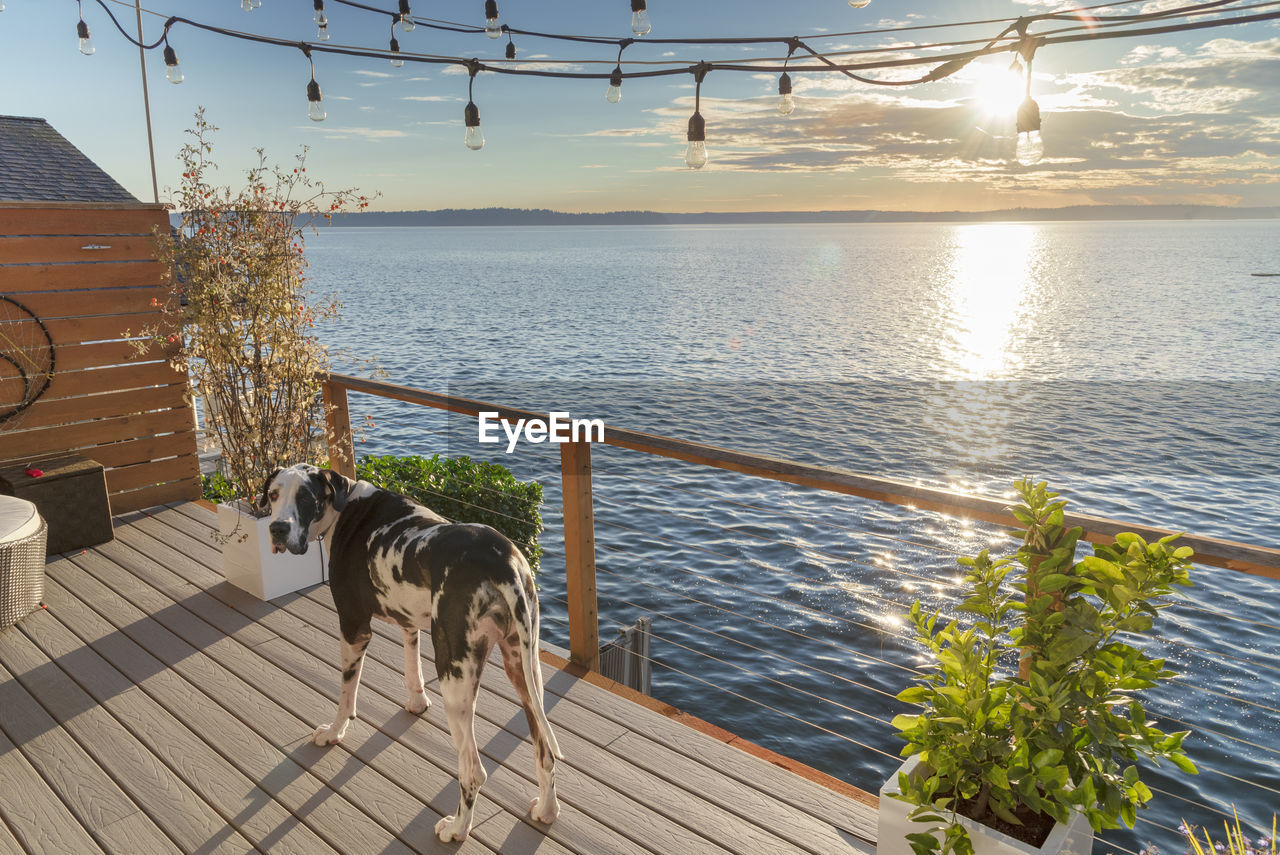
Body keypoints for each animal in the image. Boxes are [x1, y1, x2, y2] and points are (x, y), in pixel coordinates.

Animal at [257, 460, 563, 839]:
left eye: (305, 497)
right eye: (273, 495)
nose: (278, 529)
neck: (346, 508)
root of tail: (501, 562)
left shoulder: (353, 629)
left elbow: (346, 696)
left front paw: (334, 733)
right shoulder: (410, 623)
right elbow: (411, 668)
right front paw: (417, 703)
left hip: (455, 678)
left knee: (473, 770)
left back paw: (457, 829)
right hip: (524, 667)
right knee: (545, 753)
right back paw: (547, 810)